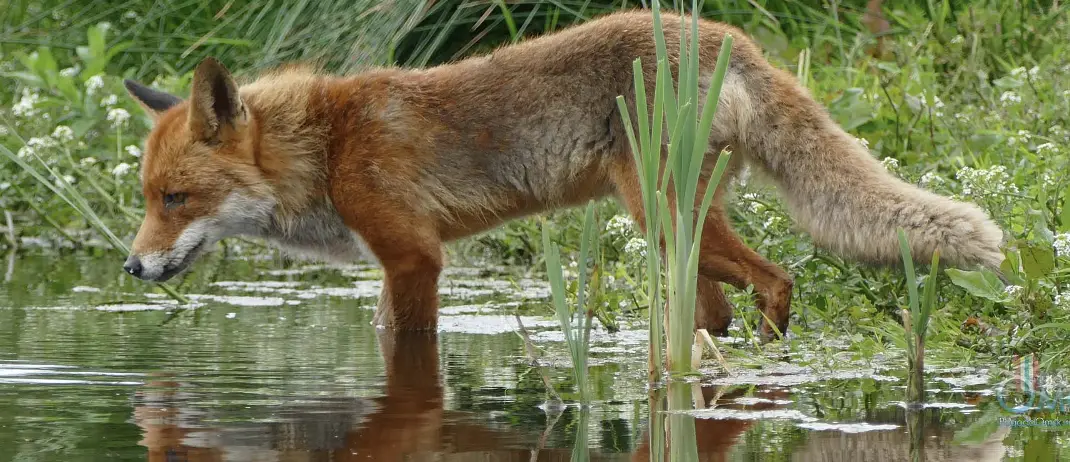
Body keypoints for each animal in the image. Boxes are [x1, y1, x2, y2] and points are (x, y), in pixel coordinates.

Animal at [121, 9, 1005, 337]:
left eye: (177, 198)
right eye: (147, 200)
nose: (131, 267)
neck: (327, 147)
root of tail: (730, 37)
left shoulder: (415, 258)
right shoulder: (396, 263)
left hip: (661, 217)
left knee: (779, 279)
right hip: (680, 234)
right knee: (719, 310)